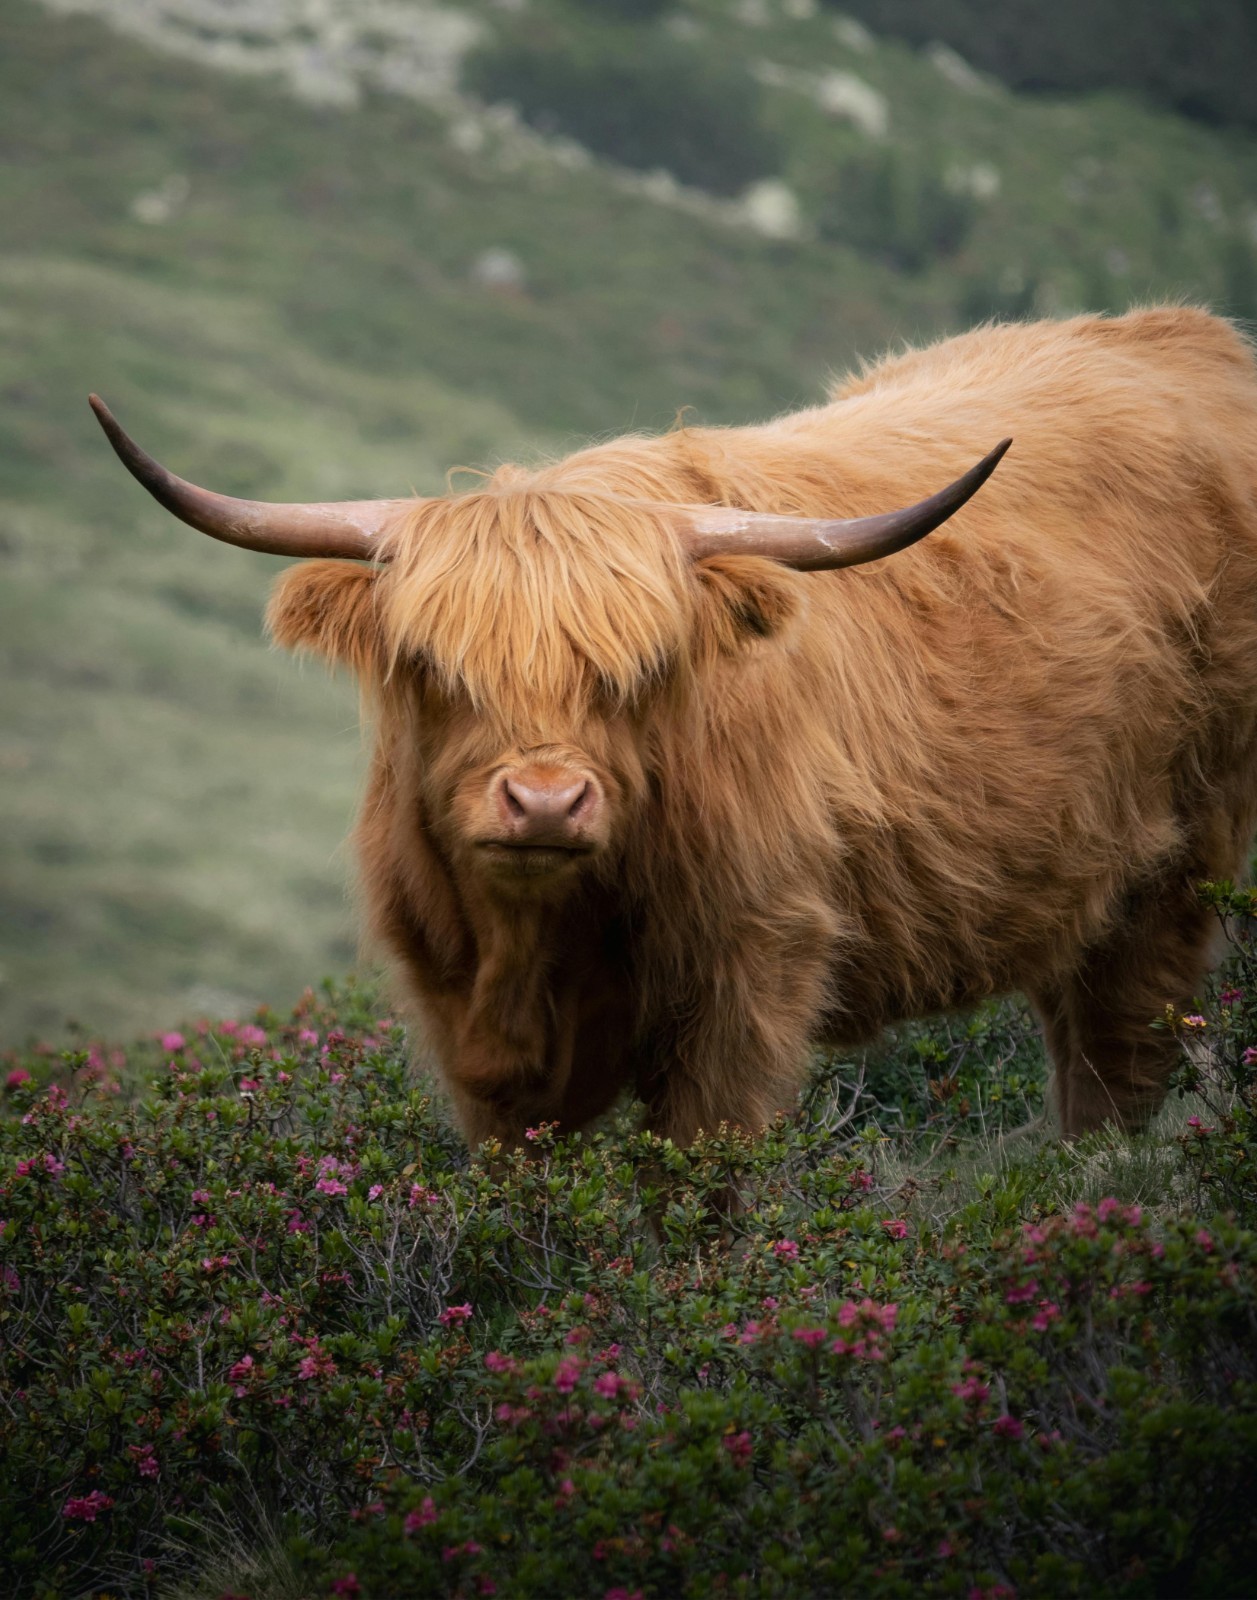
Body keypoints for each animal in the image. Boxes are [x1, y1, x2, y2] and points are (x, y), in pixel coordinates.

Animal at [90, 306, 1257, 1147]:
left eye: (639, 670)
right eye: (433, 666)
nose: (544, 802)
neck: (540, 939)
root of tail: (1182, 333)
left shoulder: (750, 983)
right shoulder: (466, 1025)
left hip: (1179, 866)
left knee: (1120, 1064)